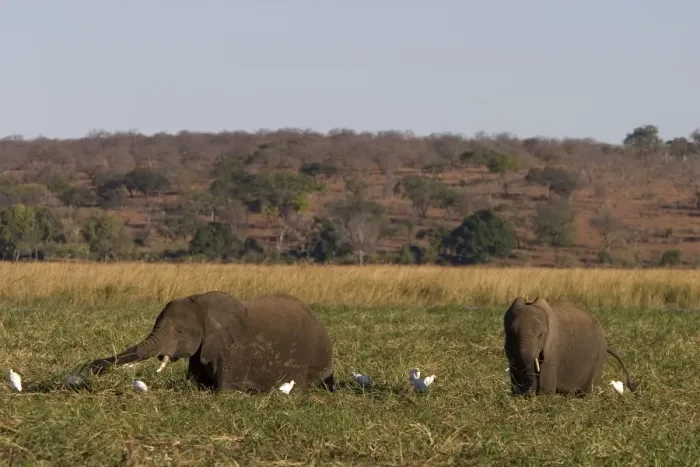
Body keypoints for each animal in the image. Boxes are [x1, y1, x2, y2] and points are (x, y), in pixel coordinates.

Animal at [84, 291, 335, 393]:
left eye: (180, 331)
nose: (94, 367)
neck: (201, 302)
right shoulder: (202, 349)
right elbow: (194, 383)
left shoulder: (235, 348)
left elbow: (224, 390)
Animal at [503, 296, 637, 396]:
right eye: (510, 333)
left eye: (541, 335)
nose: (528, 393)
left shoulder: (554, 346)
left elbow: (546, 386)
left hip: (599, 355)